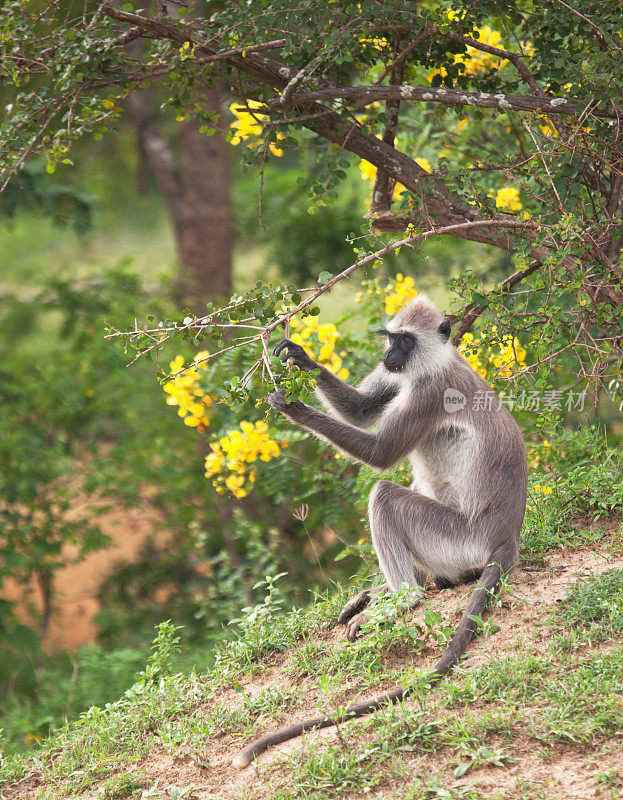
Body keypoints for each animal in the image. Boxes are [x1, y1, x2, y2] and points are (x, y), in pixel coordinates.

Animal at [232, 294, 528, 768]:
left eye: (406, 340)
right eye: (391, 338)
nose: (390, 355)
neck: (435, 361)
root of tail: (506, 538)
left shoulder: (428, 392)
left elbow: (381, 454)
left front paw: (292, 407)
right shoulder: (403, 378)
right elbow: (362, 410)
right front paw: (300, 358)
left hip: (459, 539)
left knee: (386, 496)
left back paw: (404, 598)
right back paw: (391, 591)